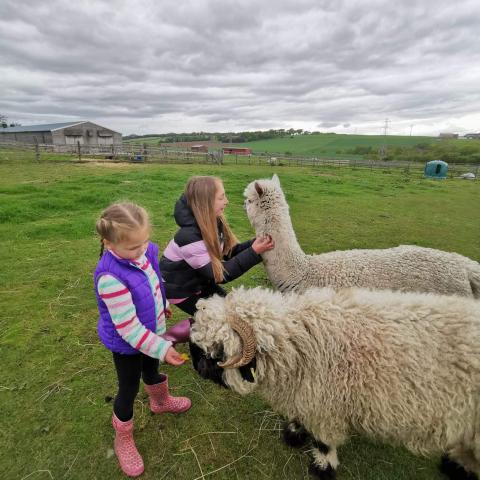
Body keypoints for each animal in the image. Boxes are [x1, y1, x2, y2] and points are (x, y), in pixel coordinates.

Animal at [190, 286, 480, 478]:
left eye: (216, 353)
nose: (195, 364)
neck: (298, 345)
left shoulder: (324, 407)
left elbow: (323, 442)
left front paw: (322, 468)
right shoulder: (304, 394)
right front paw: (293, 433)